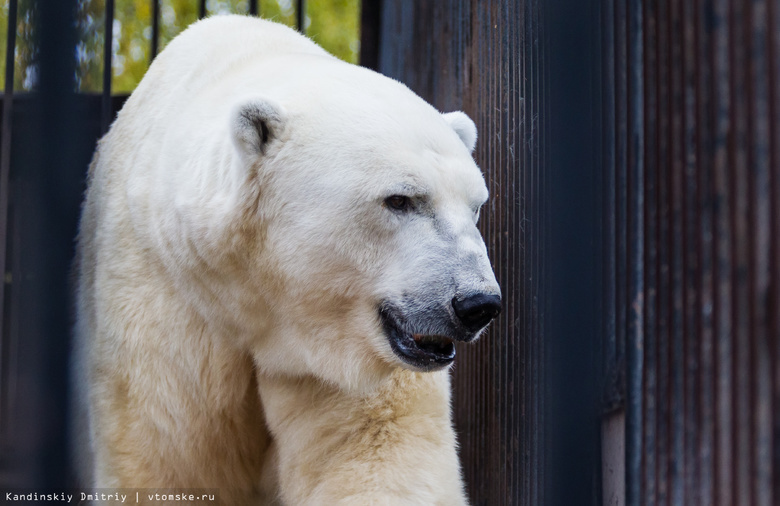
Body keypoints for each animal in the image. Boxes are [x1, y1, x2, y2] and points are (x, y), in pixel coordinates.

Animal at [71, 13, 500, 504]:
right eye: (400, 199)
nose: (477, 303)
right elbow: (167, 455)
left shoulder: (338, 361)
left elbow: (377, 454)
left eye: (476, 206)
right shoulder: (163, 312)